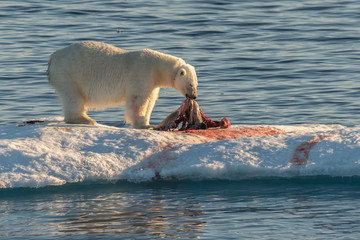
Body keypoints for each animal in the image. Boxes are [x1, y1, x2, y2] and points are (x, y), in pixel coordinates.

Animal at [46, 41, 198, 128]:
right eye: (190, 84)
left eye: (197, 84)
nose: (194, 96)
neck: (157, 67)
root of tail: (53, 57)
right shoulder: (142, 74)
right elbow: (138, 100)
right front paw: (143, 125)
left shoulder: (153, 83)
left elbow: (150, 101)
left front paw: (148, 122)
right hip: (69, 74)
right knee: (73, 97)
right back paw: (85, 119)